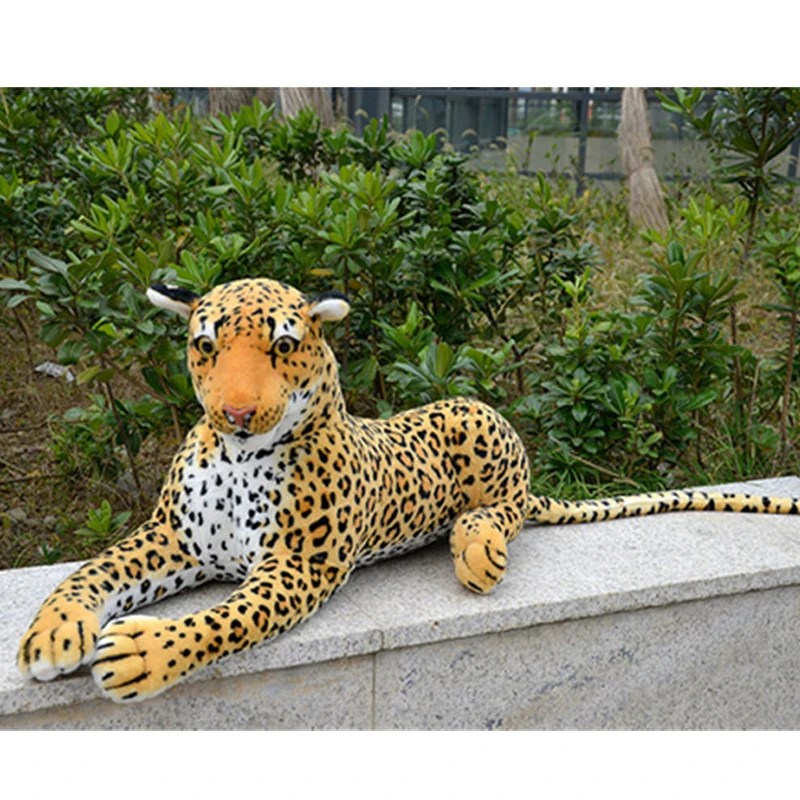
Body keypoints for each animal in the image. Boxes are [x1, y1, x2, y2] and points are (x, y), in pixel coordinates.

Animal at [17, 277, 800, 703]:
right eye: (205, 345)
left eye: (283, 345)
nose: (236, 412)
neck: (240, 456)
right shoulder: (173, 539)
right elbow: (94, 571)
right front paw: (54, 632)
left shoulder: (298, 568)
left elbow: (222, 621)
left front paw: (145, 651)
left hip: (475, 421)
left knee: (508, 513)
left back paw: (476, 549)